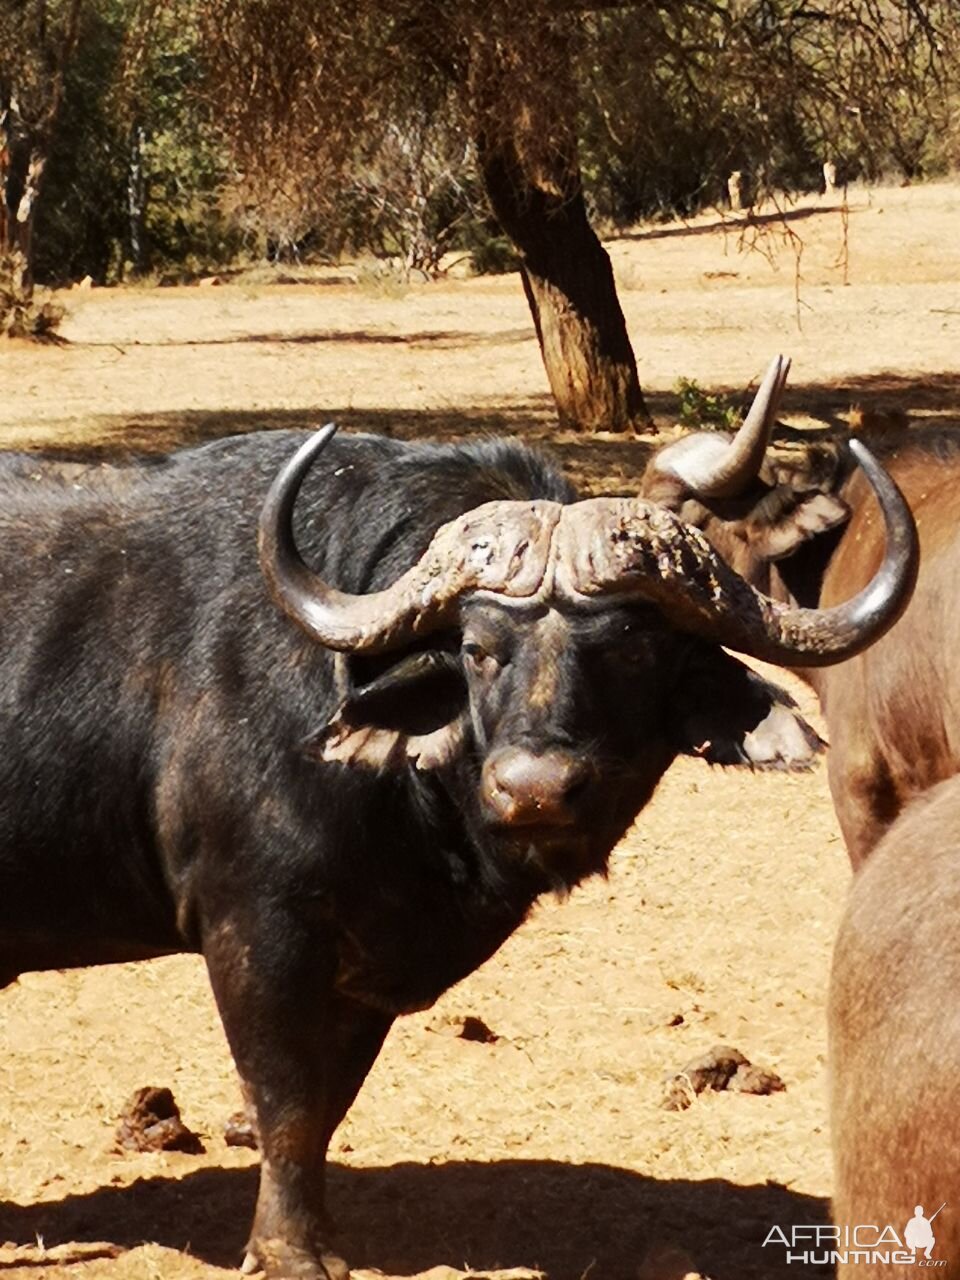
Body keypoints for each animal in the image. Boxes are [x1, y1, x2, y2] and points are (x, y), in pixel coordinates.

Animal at [0, 381, 916, 1280]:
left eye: (633, 649)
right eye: (478, 648)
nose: (534, 789)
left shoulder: (364, 968)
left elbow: (325, 1106)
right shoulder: (255, 932)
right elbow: (285, 1100)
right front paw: (291, 1250)